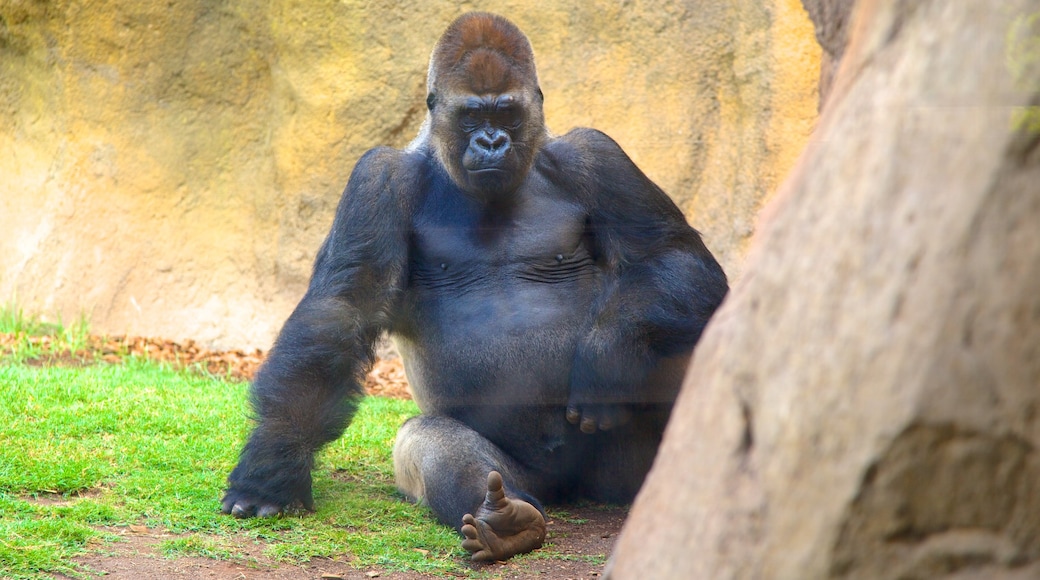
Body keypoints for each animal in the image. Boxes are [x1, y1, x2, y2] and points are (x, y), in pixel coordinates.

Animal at [219, 12, 728, 565]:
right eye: (470, 116)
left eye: (506, 112)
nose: (491, 142)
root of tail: (574, 491)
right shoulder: (377, 179)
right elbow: (343, 308)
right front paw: (273, 461)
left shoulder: (596, 155)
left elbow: (673, 258)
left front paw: (608, 354)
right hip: (529, 479)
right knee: (430, 441)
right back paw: (505, 522)